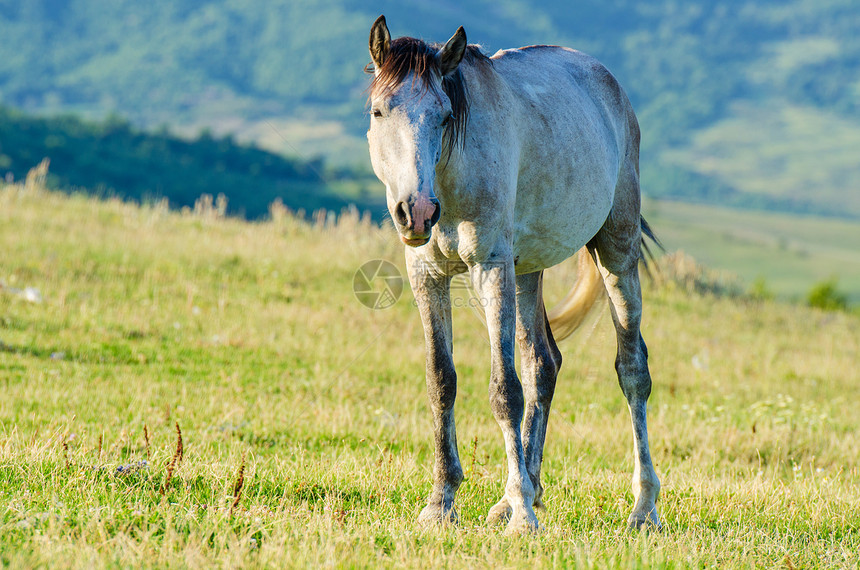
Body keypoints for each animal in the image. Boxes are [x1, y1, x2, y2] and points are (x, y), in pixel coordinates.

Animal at [366, 14, 660, 532]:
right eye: (380, 112)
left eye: (444, 116)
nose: (416, 212)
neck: (451, 173)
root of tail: (610, 85)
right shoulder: (427, 274)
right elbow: (441, 381)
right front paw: (441, 503)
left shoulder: (490, 269)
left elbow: (505, 391)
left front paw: (523, 516)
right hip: (527, 271)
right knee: (543, 364)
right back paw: (520, 491)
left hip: (616, 251)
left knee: (632, 371)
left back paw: (642, 508)